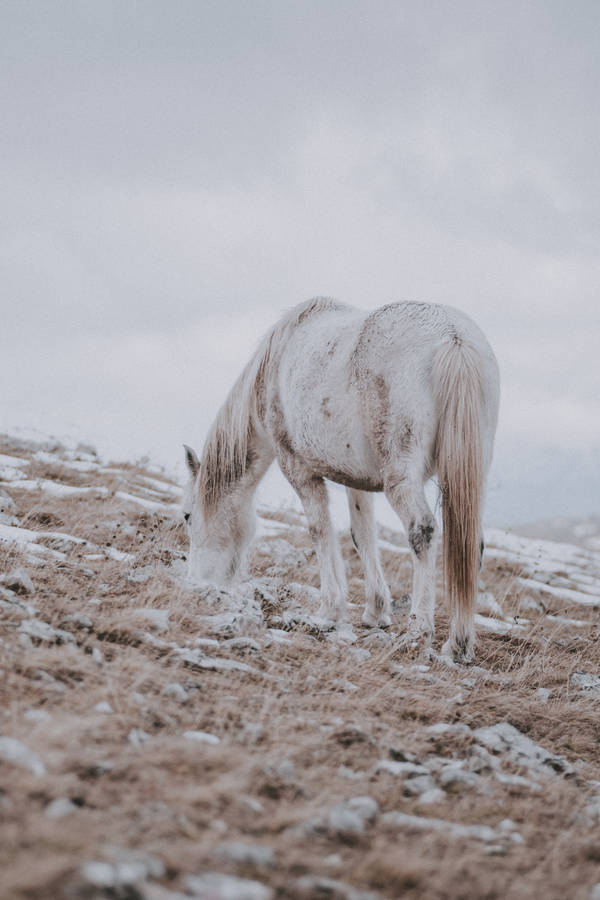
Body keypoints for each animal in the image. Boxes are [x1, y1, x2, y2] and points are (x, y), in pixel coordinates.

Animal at [182, 298, 500, 663]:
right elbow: (362, 536)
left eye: (187, 516)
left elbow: (319, 531)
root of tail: (453, 337)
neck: (274, 368)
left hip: (402, 475)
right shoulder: (356, 480)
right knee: (472, 543)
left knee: (422, 531)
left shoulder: (299, 469)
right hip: (472, 474)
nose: (196, 583)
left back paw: (420, 631)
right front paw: (375, 611)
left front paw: (329, 610)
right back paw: (459, 642)